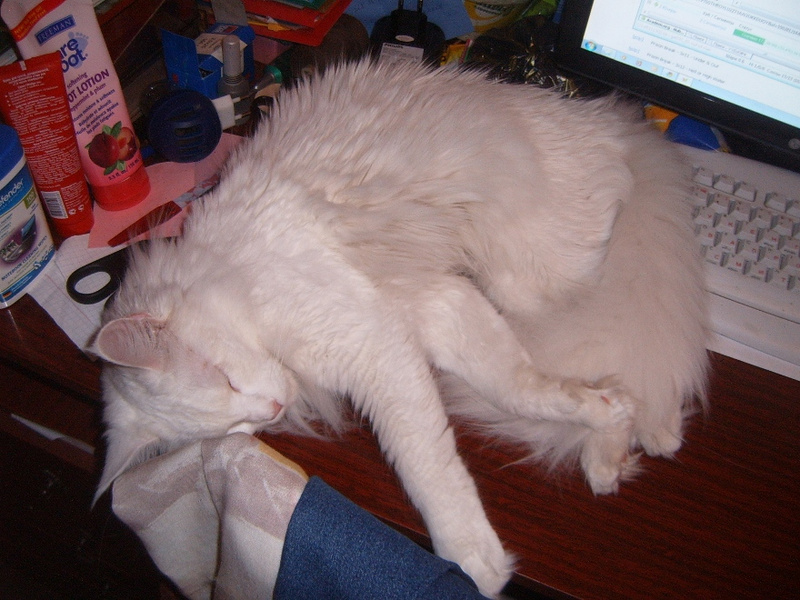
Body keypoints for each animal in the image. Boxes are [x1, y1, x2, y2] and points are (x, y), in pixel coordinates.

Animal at [90, 59, 708, 597]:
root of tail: (615, 120)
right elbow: (523, 387)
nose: (270, 410)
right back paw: (629, 439)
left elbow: (426, 462)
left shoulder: (374, 347)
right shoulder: (433, 306)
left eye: (225, 379)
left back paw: (641, 435)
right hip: (516, 287)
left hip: (534, 280)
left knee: (633, 324)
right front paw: (599, 412)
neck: (227, 269)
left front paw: (474, 563)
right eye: (233, 426)